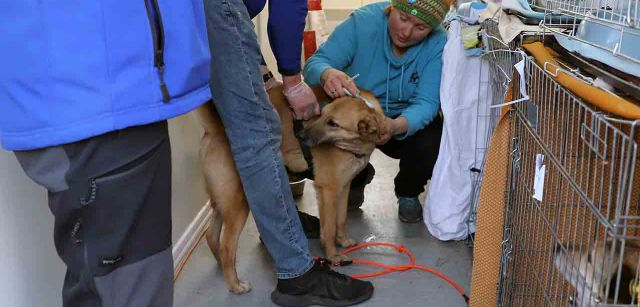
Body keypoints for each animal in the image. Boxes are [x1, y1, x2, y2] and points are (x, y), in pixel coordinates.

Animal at [195, 86, 382, 294]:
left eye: (332, 123)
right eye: (321, 113)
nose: (301, 135)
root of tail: (215, 128)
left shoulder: (343, 187)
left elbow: (341, 220)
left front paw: (343, 241)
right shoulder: (328, 190)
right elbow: (329, 229)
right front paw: (333, 256)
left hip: (223, 200)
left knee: (211, 235)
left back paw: (222, 266)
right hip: (239, 202)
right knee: (226, 247)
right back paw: (235, 285)